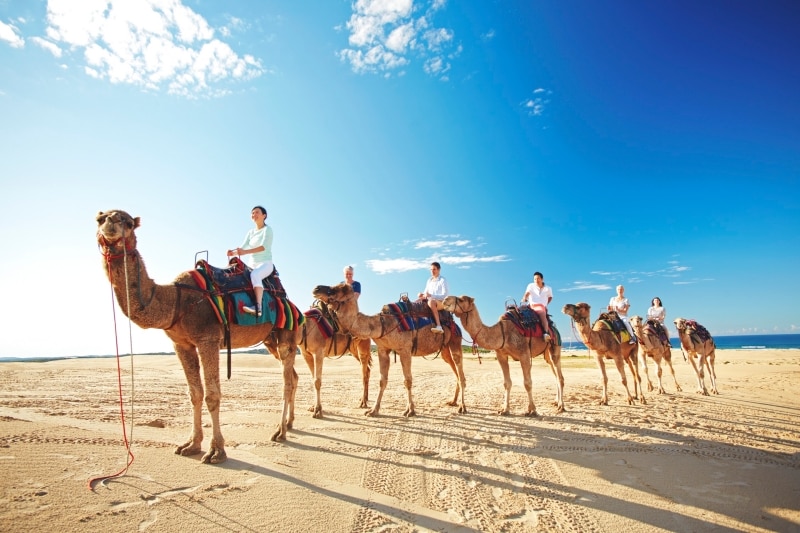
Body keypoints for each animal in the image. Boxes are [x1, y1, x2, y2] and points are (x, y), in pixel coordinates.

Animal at [96, 208, 300, 462]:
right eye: (99, 219)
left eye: (129, 223)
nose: (110, 223)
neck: (177, 300)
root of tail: (292, 304)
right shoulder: (181, 344)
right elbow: (194, 393)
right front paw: (191, 444)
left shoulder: (207, 340)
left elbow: (212, 395)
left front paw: (216, 451)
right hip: (271, 340)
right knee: (293, 377)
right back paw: (289, 425)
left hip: (287, 335)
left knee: (287, 382)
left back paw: (280, 432)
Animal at [310, 282, 466, 416]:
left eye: (340, 288)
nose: (317, 288)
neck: (383, 324)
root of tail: (454, 323)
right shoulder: (383, 350)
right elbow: (382, 380)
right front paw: (373, 410)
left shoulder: (405, 350)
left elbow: (407, 380)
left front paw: (410, 410)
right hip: (444, 349)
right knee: (455, 371)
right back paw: (453, 402)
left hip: (455, 340)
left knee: (460, 370)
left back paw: (462, 407)